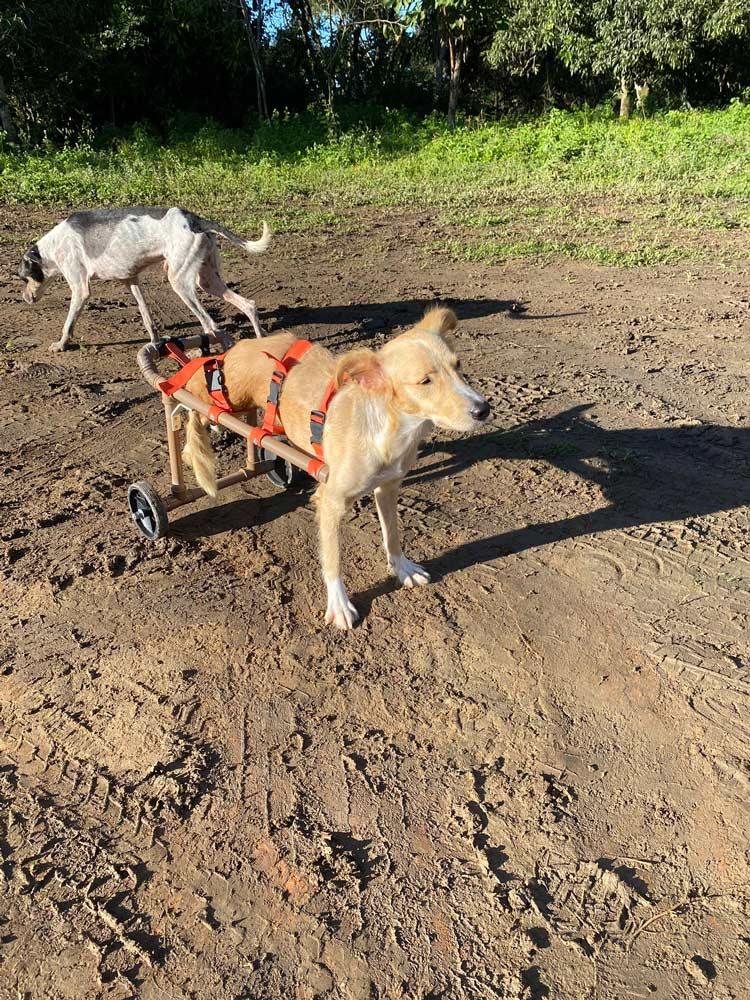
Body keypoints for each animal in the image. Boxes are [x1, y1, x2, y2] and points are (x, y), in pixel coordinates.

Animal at [17, 207, 274, 352]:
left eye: (23, 278)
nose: (25, 298)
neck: (50, 248)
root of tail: (194, 219)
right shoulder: (131, 280)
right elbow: (148, 318)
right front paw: (156, 343)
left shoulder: (80, 290)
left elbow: (68, 324)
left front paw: (61, 345)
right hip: (208, 281)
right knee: (249, 306)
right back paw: (261, 344)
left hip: (181, 283)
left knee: (211, 325)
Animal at [184, 308, 494, 628]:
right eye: (425, 381)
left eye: (458, 366)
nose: (483, 409)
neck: (387, 429)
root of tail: (239, 345)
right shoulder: (330, 502)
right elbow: (332, 559)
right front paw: (339, 604)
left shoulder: (388, 487)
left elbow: (392, 535)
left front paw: (401, 567)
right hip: (219, 394)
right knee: (188, 404)